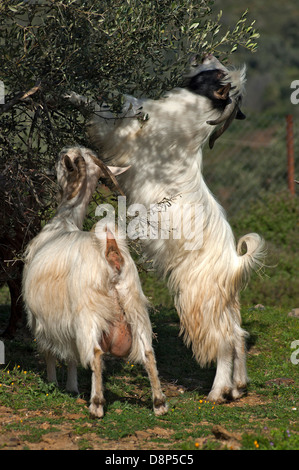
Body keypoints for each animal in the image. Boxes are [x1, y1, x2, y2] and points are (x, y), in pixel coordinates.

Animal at [22, 147, 169, 418]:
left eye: (62, 161)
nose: (58, 156)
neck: (64, 221)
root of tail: (111, 249)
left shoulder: (42, 319)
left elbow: (51, 352)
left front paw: (53, 382)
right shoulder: (64, 322)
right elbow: (71, 356)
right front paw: (71, 386)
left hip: (88, 312)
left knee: (96, 353)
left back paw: (97, 404)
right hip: (135, 306)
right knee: (148, 352)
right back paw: (159, 403)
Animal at [69, 53, 268, 402]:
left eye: (217, 74)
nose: (205, 55)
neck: (189, 120)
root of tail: (234, 263)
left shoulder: (126, 137)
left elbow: (103, 116)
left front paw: (76, 98)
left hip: (198, 302)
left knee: (223, 343)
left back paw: (217, 392)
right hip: (225, 305)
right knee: (238, 335)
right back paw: (238, 386)